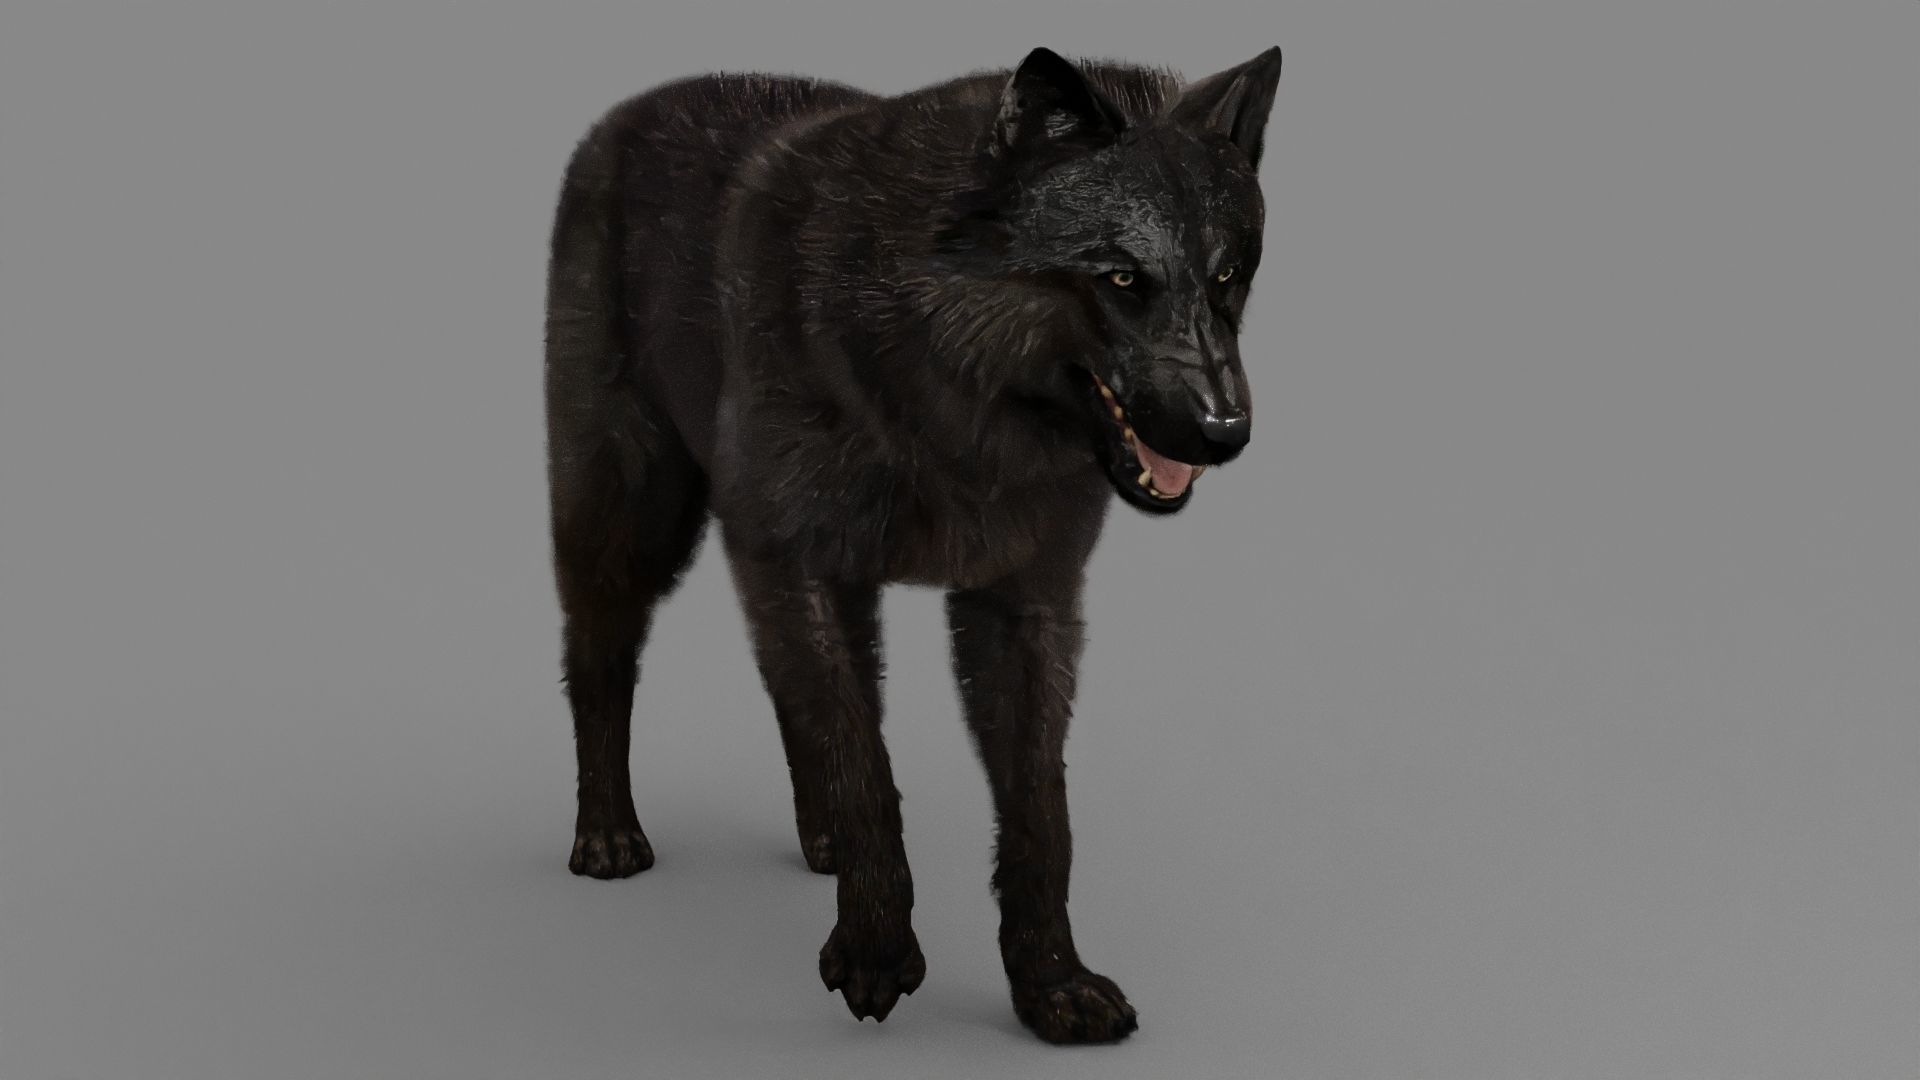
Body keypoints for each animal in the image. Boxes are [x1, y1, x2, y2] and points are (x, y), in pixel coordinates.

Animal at [543, 45, 1281, 1043]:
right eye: (1124, 278)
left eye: (1229, 275)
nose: (1224, 433)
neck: (947, 396)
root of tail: (623, 117)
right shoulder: (799, 563)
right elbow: (863, 761)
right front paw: (875, 952)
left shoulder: (1025, 603)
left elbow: (1039, 811)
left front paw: (1051, 985)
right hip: (631, 524)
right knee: (601, 660)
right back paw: (608, 835)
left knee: (790, 689)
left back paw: (818, 840)